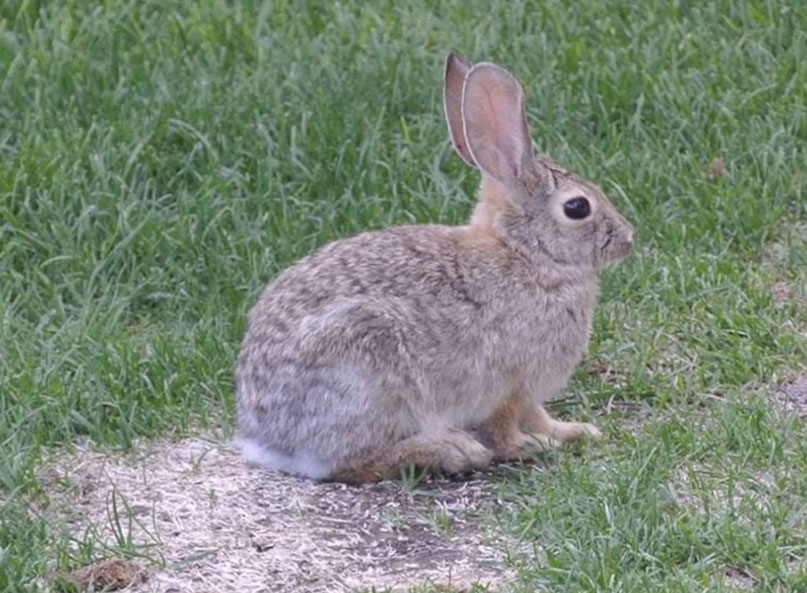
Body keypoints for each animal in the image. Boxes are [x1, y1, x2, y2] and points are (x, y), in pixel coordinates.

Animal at [234, 53, 634, 482]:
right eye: (577, 207)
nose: (628, 238)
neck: (527, 255)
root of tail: (267, 438)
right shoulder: (510, 384)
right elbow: (507, 427)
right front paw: (532, 446)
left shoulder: (527, 392)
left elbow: (539, 415)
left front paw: (575, 431)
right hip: (366, 366)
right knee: (354, 463)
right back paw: (449, 450)